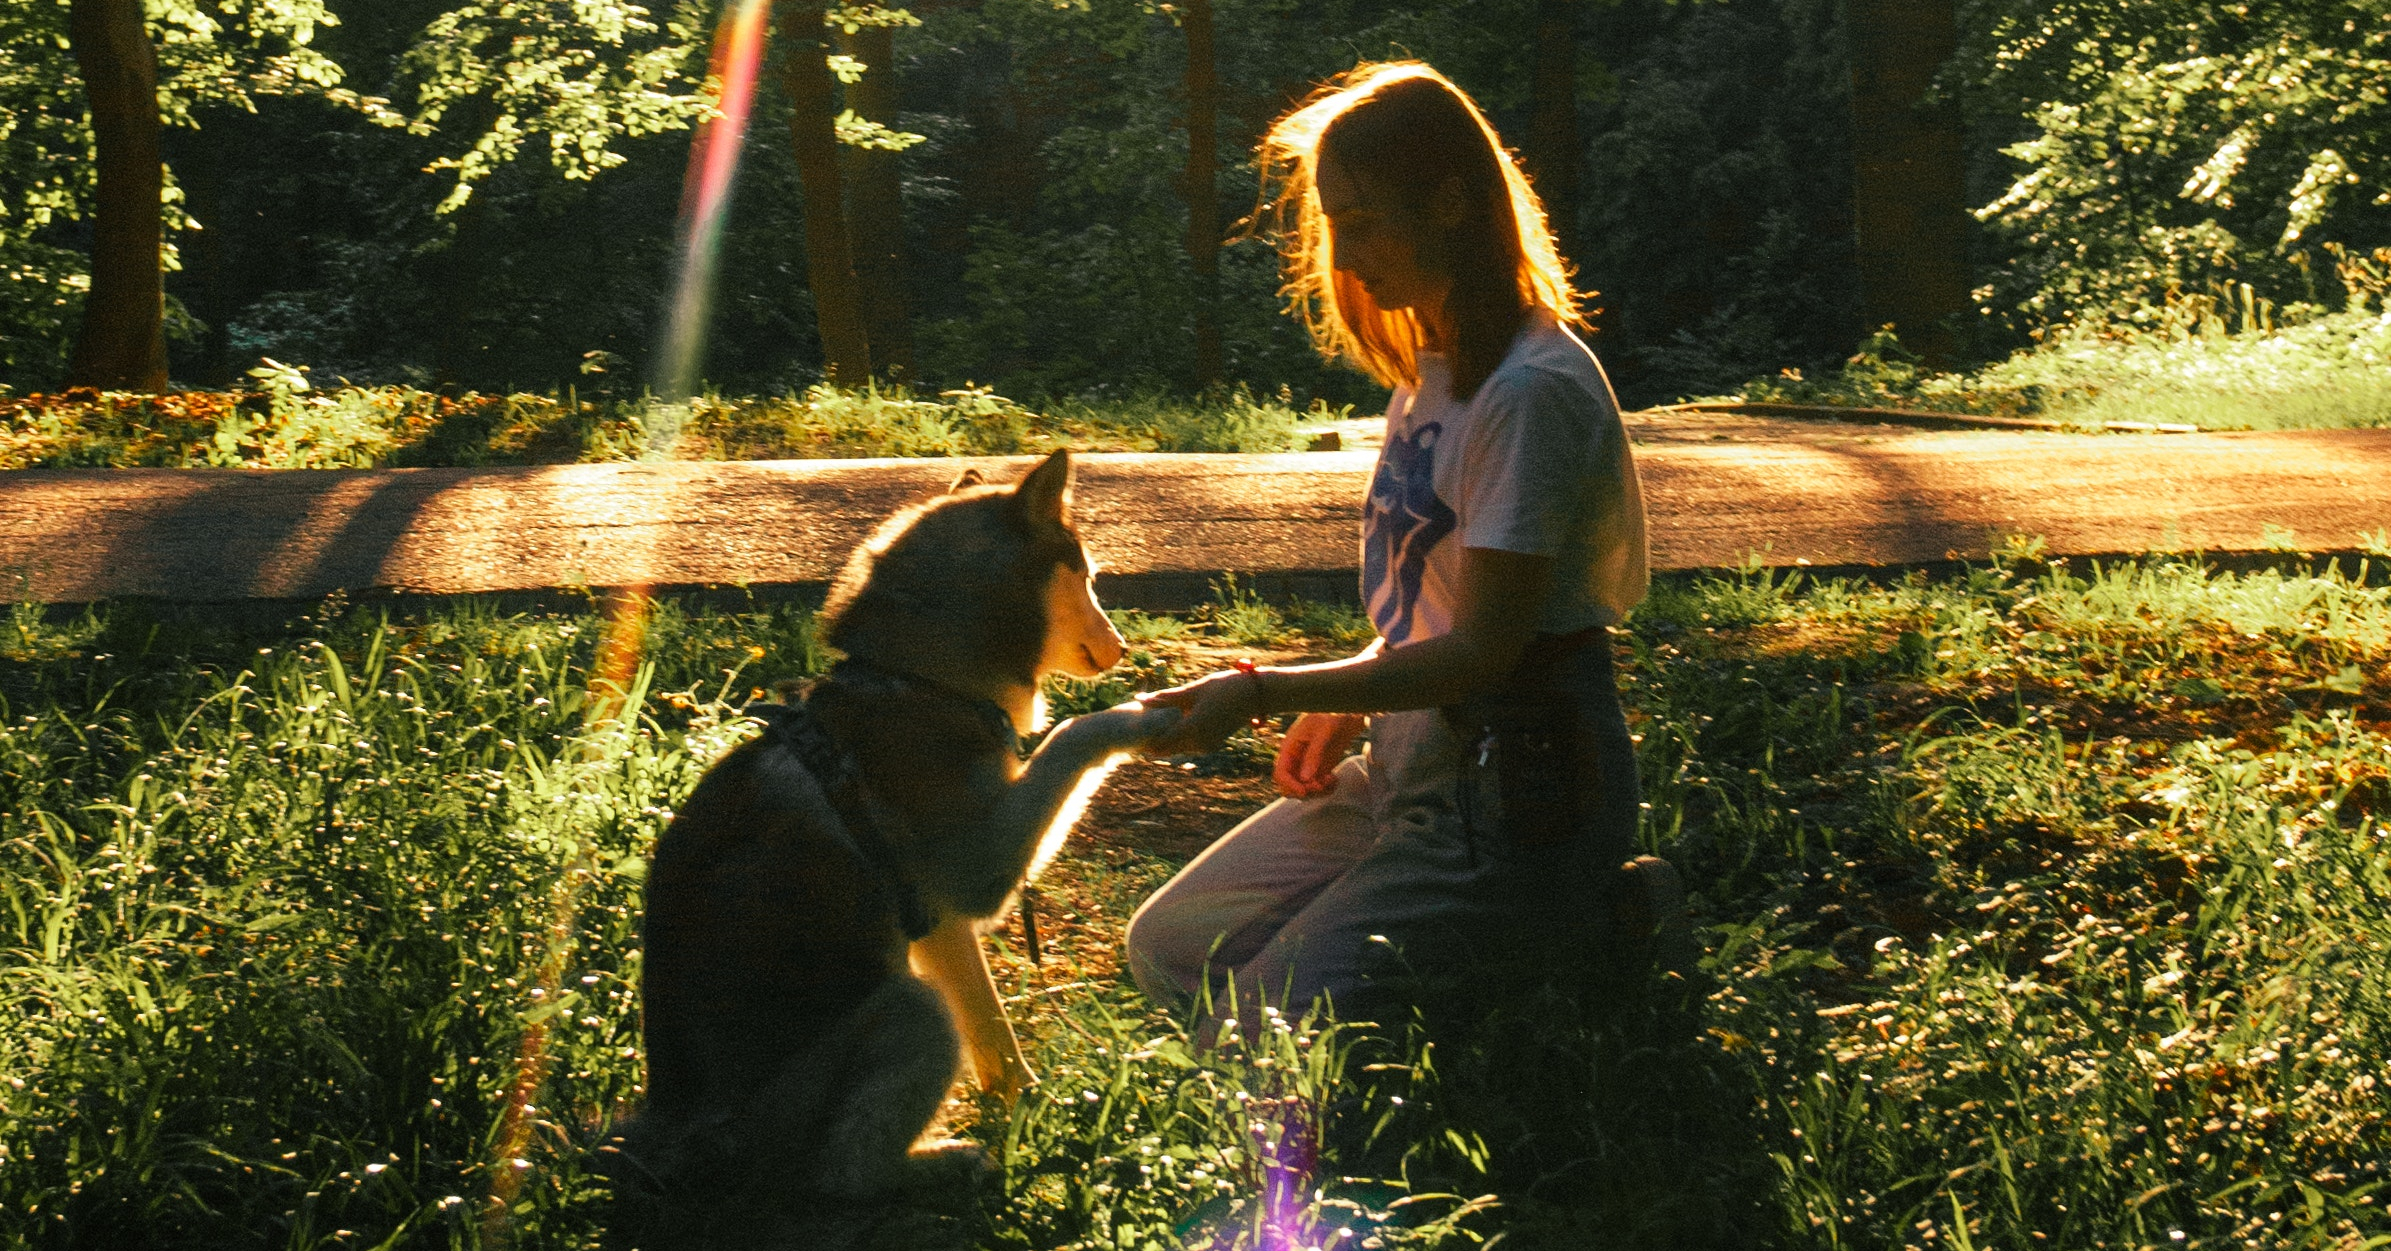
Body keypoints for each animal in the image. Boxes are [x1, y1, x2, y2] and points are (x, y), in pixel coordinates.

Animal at [607, 452, 1185, 1251]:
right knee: (841, 1174)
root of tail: (678, 1139)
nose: (1124, 648)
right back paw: (942, 1165)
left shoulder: (939, 924)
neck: (922, 684)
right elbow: (1074, 734)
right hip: (906, 1012)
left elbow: (993, 1031)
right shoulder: (978, 874)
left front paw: (1025, 1104)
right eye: (1089, 576)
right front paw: (1140, 716)